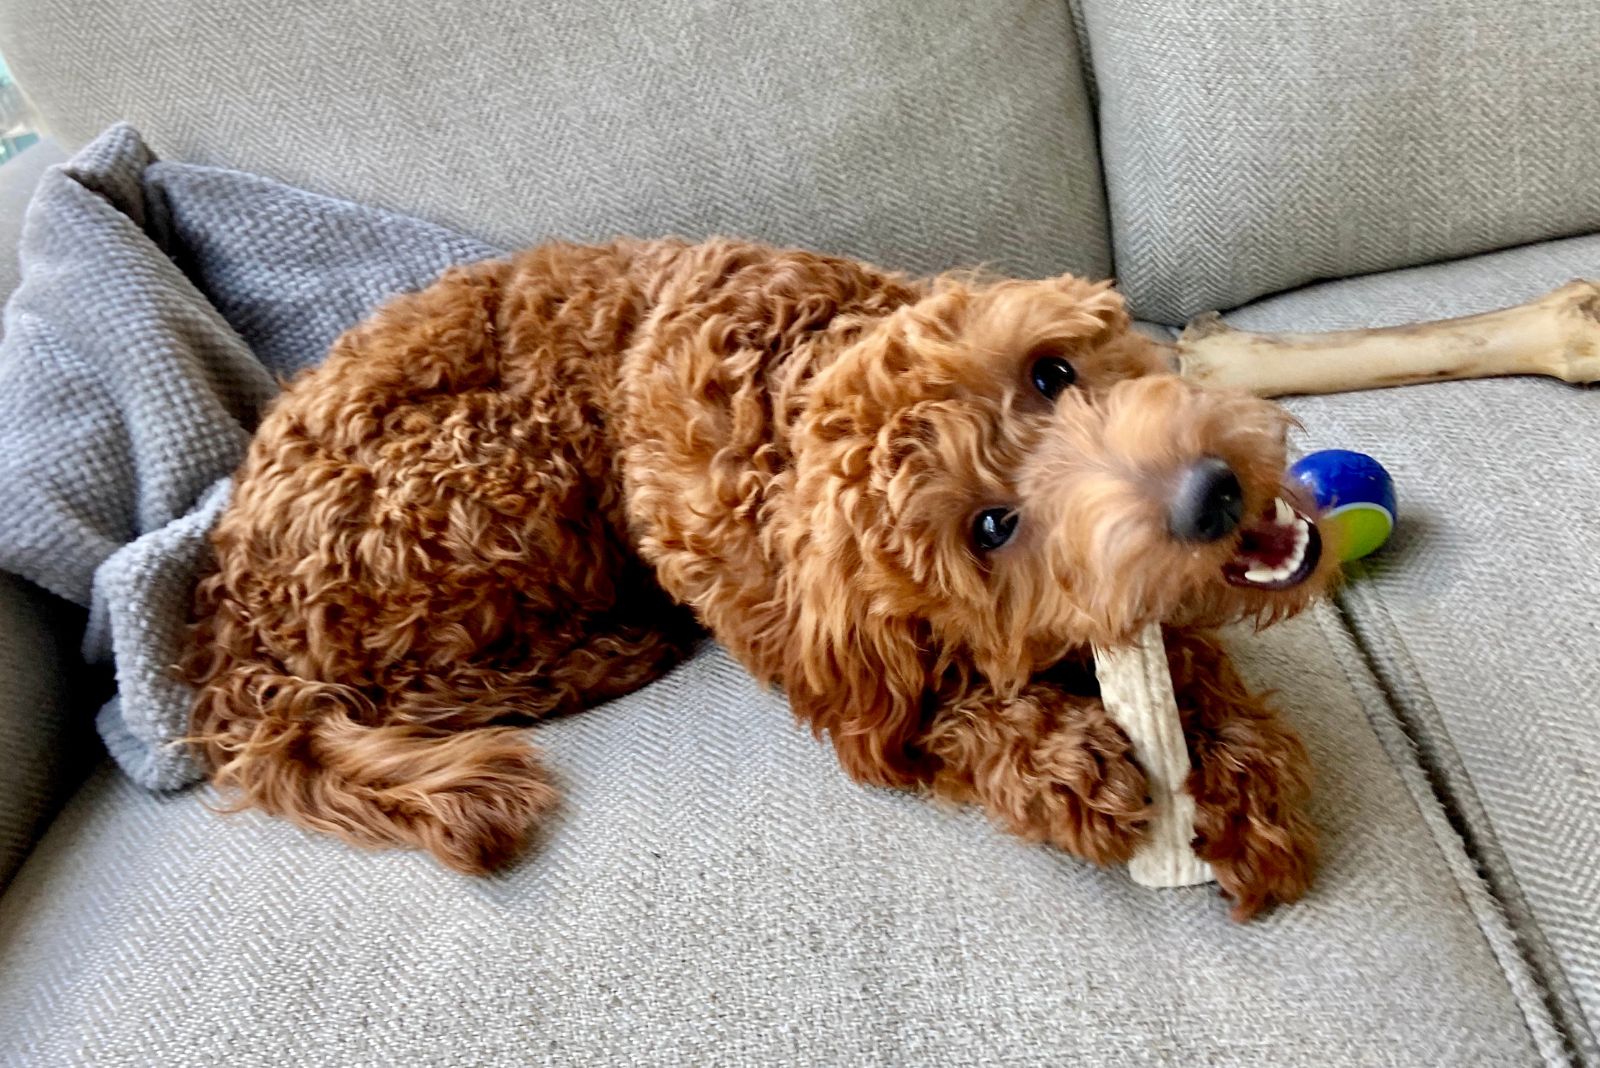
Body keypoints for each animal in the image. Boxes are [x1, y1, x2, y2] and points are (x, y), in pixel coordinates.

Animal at [187, 239, 1337, 920]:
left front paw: (1238, 775)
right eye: (991, 527)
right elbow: (932, 714)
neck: (798, 382)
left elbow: (1172, 650)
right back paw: (618, 642)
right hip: (500, 474)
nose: (1209, 496)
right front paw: (1055, 761)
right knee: (444, 679)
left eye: (1051, 372)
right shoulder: (836, 670)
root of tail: (230, 601)